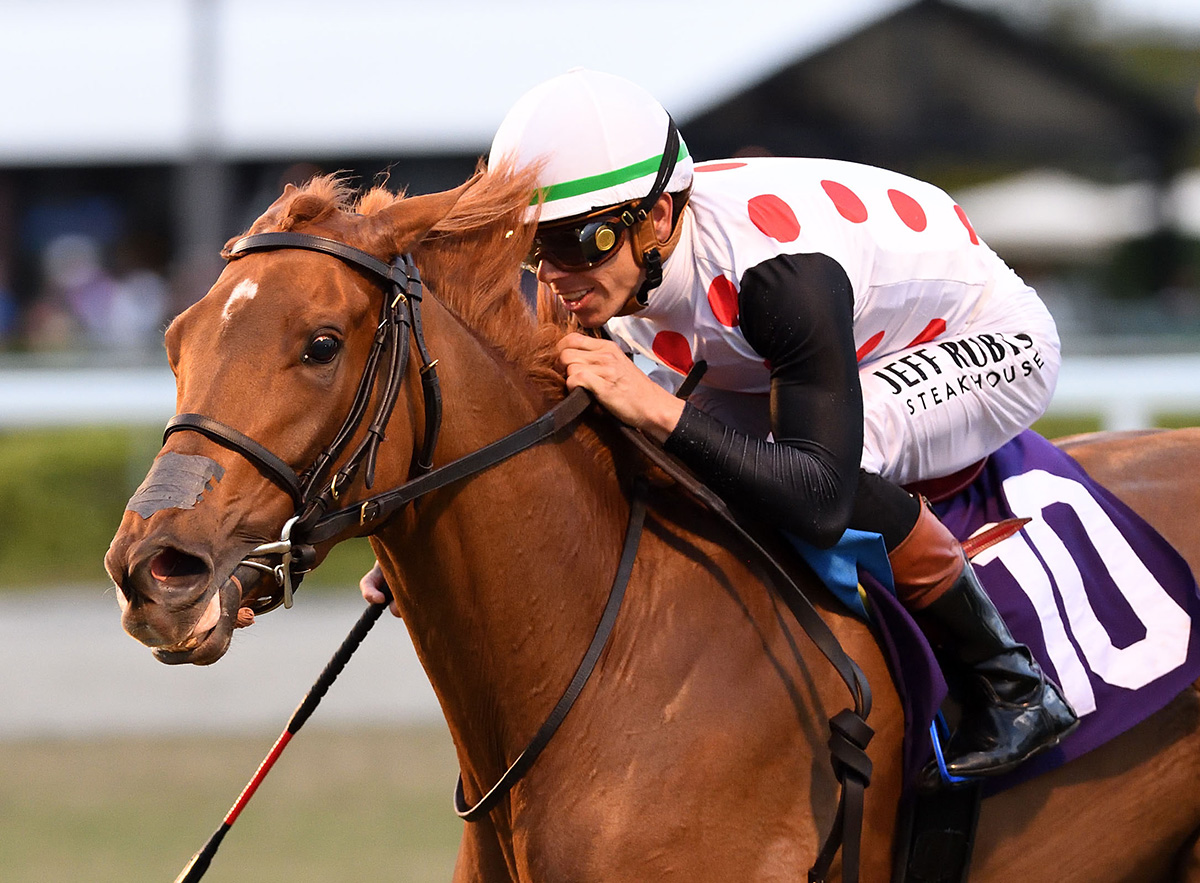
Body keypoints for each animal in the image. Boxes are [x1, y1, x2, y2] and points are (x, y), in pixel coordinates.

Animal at [105, 168, 1200, 882]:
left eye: (322, 344)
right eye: (175, 339)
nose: (155, 568)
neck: (609, 656)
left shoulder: (791, 291)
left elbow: (825, 484)